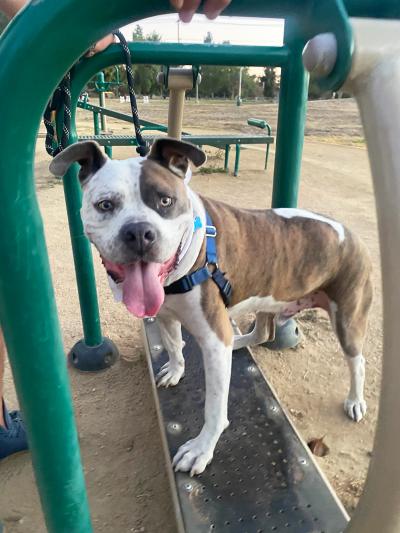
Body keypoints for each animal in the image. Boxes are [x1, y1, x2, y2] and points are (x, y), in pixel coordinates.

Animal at [50, 139, 372, 476]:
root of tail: (350, 233)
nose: (139, 232)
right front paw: (175, 370)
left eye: (165, 200)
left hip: (348, 317)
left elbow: (214, 408)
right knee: (263, 333)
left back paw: (355, 401)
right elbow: (174, 346)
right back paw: (239, 341)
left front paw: (201, 450)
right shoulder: (166, 315)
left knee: (357, 361)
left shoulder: (213, 340)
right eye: (105, 205)